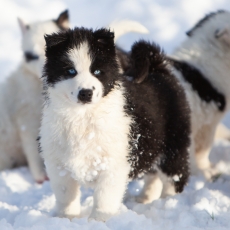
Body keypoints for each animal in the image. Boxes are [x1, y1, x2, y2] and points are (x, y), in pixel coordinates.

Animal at [39, 27, 190, 222]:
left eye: (97, 71)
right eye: (71, 71)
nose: (86, 93)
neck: (83, 117)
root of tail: (157, 67)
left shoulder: (113, 165)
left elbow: (104, 199)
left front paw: (98, 221)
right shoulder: (58, 165)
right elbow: (66, 197)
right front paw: (66, 220)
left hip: (173, 145)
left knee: (174, 176)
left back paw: (168, 203)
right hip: (150, 143)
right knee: (153, 173)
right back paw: (145, 199)